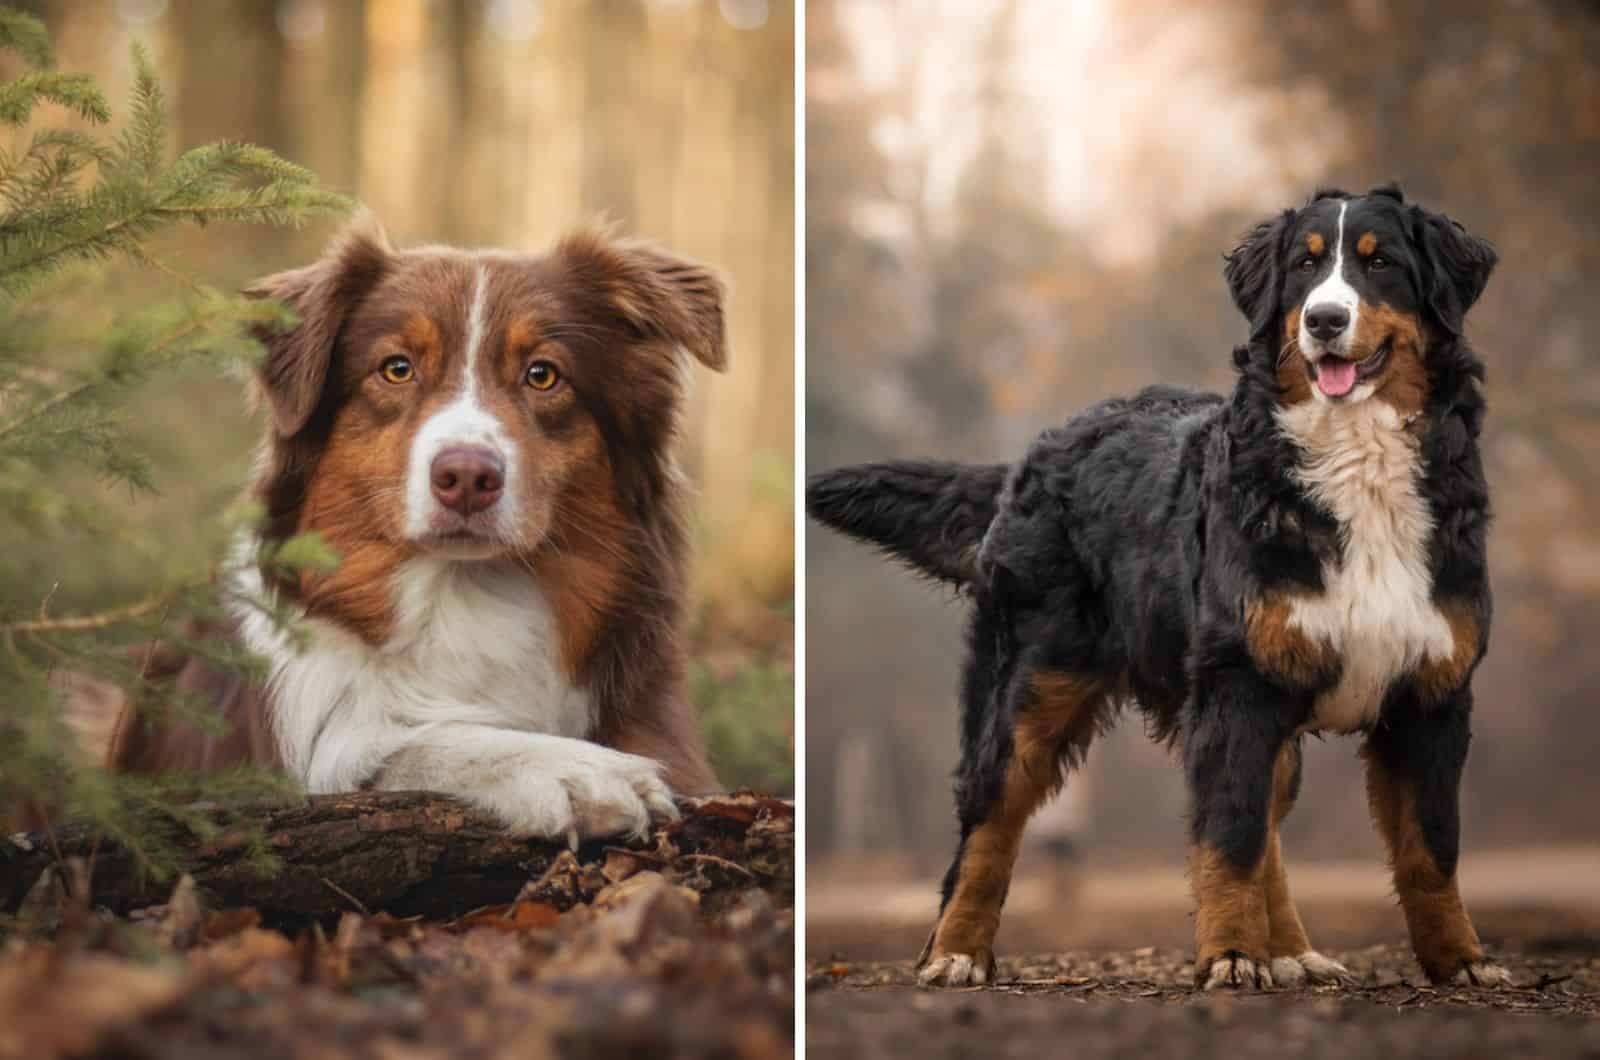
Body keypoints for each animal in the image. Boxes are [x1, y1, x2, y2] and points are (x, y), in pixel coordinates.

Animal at [114, 217, 732, 845]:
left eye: (542, 375)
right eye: (397, 368)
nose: (467, 477)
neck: (464, 598)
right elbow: (408, 744)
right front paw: (576, 770)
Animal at [806, 186, 1504, 992]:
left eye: (1380, 262)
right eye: (1303, 268)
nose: (1323, 320)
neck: (1356, 463)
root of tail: (1036, 453)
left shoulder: (1431, 692)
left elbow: (1431, 849)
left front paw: (1461, 961)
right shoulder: (1238, 686)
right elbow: (1228, 839)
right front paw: (1230, 956)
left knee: (1266, 828)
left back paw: (1290, 949)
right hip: (1030, 686)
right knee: (989, 822)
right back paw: (956, 951)